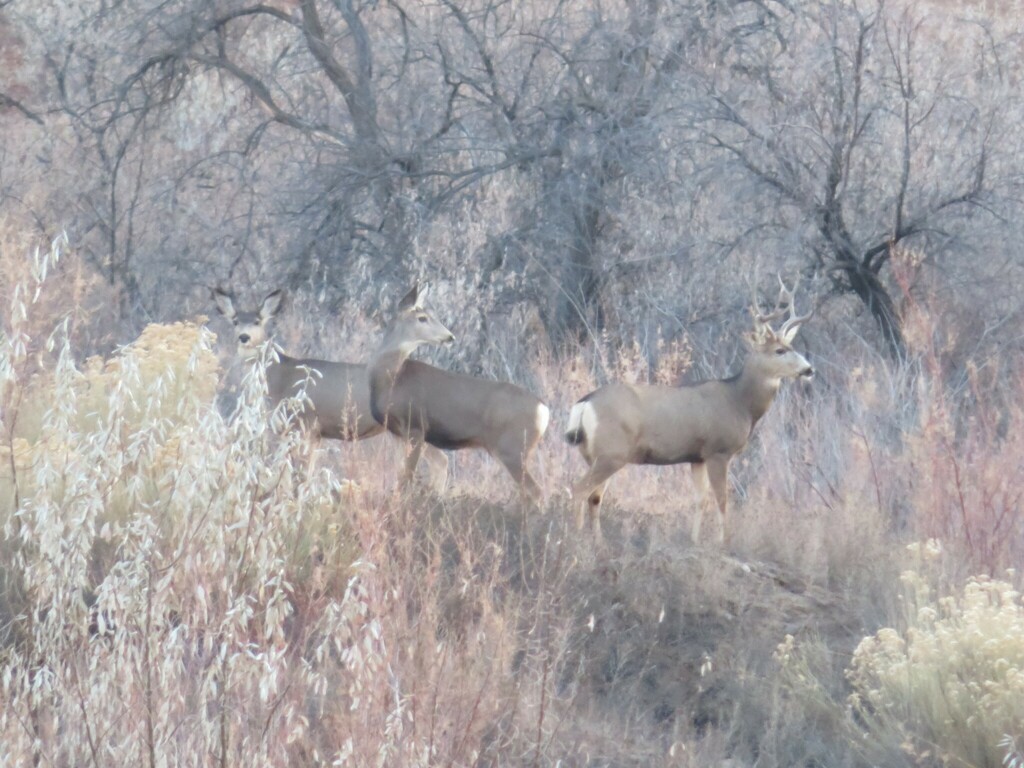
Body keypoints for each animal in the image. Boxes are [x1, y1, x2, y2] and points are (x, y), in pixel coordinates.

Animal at [370, 286, 552, 501]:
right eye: (422, 318)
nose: (450, 337)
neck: (391, 378)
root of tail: (544, 409)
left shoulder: (415, 426)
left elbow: (406, 480)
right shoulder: (397, 434)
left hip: (512, 449)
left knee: (537, 491)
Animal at [565, 280, 811, 544]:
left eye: (791, 346)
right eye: (779, 351)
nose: (809, 369)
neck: (740, 401)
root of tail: (584, 403)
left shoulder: (697, 457)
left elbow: (699, 500)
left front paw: (694, 540)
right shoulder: (718, 451)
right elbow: (722, 500)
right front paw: (721, 543)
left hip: (595, 453)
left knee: (594, 496)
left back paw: (598, 542)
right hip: (611, 453)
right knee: (579, 490)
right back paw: (577, 541)